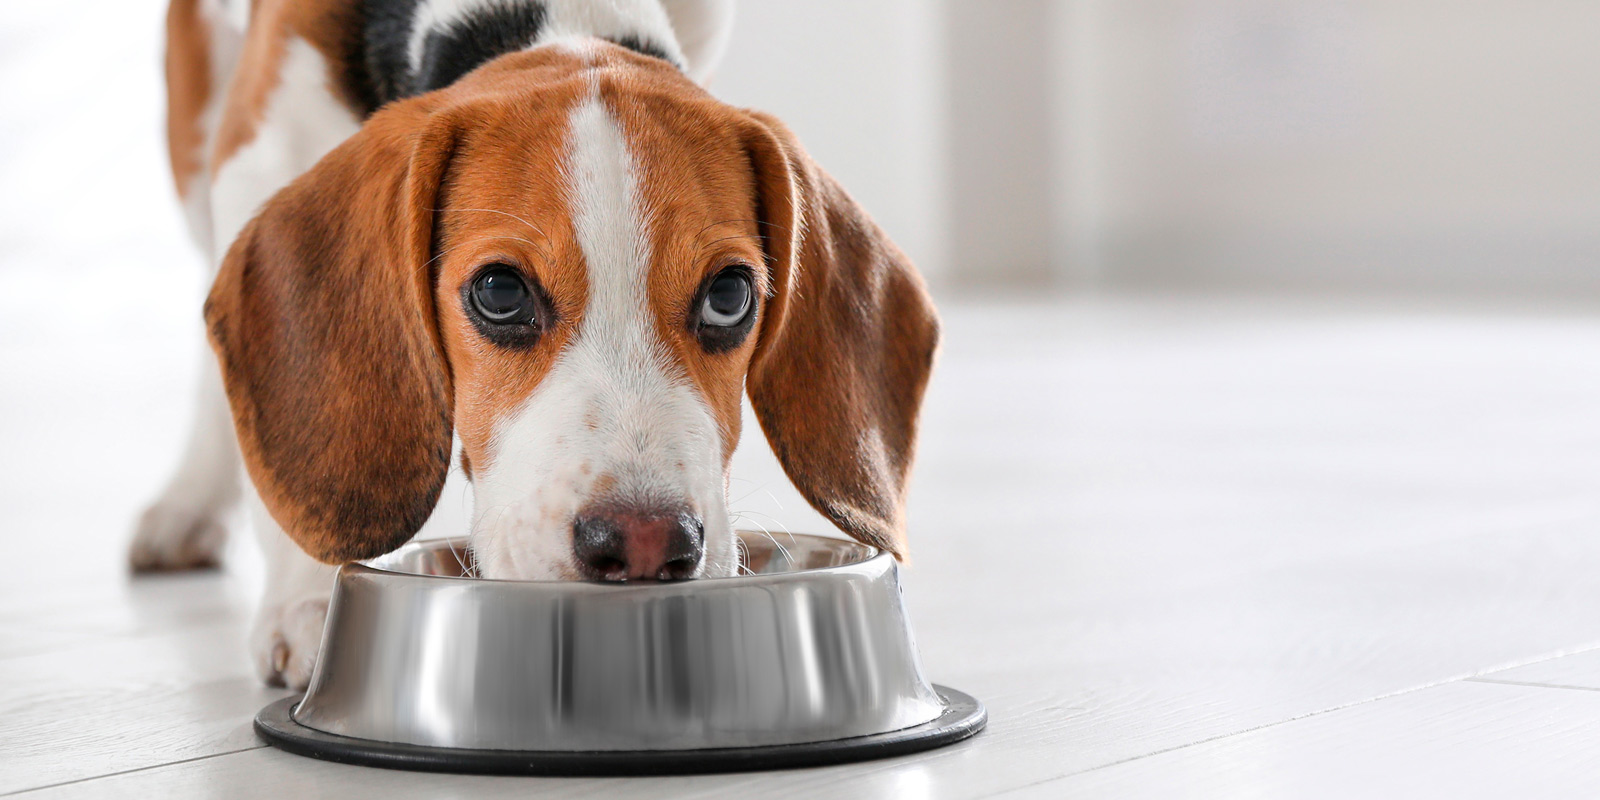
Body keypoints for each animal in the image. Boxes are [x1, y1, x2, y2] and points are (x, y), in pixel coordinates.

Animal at [131, 0, 934, 688]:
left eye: (730, 296)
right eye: (500, 292)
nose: (645, 543)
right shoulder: (261, 151)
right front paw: (307, 599)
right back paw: (186, 505)